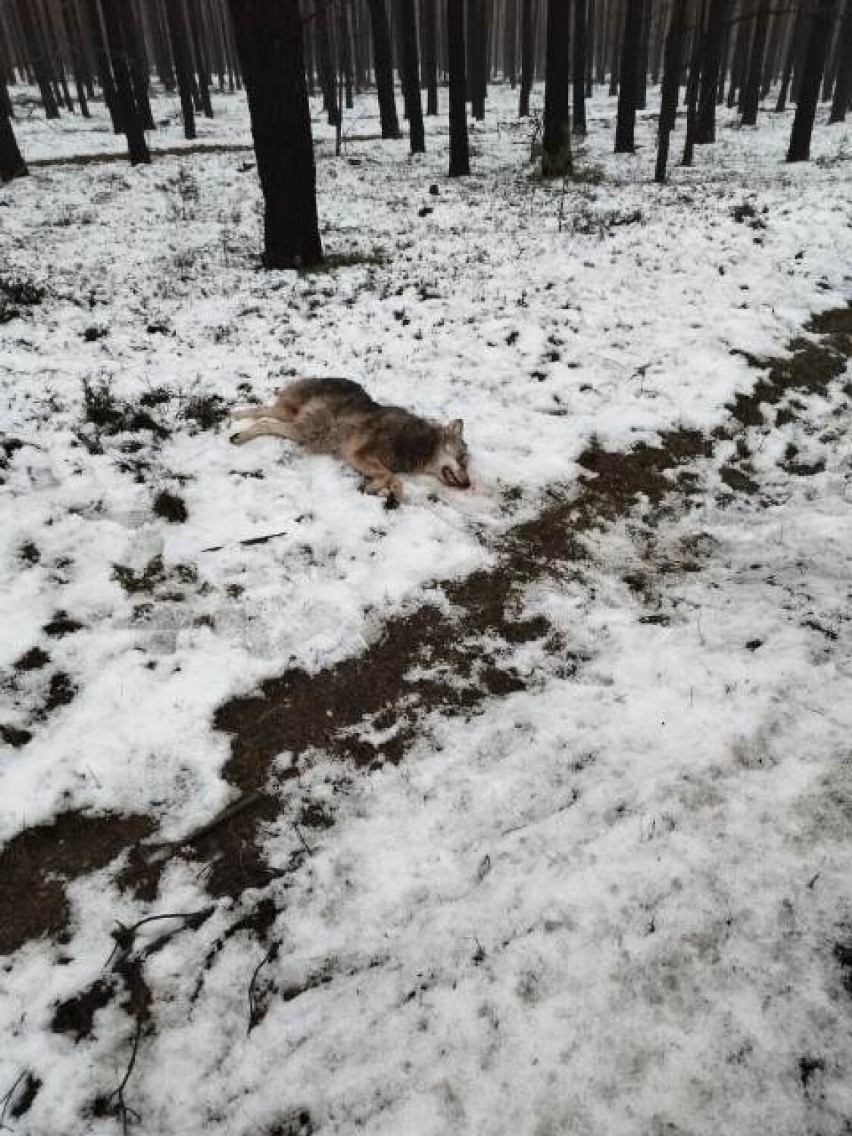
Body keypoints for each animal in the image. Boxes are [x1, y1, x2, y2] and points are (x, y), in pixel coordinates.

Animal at [230, 377, 470, 506]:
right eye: (462, 459)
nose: (468, 484)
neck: (420, 444)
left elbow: (389, 477)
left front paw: (374, 489)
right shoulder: (358, 455)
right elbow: (393, 478)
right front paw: (389, 494)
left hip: (291, 418)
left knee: (262, 411)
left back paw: (235, 418)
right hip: (308, 431)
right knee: (264, 422)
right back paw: (239, 436)